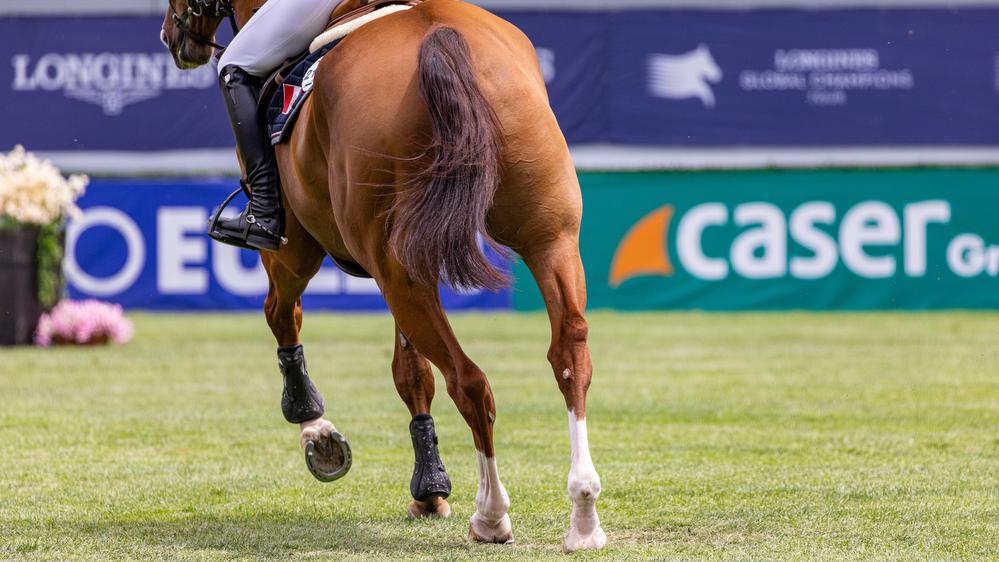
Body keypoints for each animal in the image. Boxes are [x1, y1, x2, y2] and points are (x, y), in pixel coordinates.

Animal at [161, 0, 606, 551]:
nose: (173, 37)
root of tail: (439, 37)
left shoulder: (295, 249)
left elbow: (283, 317)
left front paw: (314, 427)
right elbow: (411, 373)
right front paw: (430, 489)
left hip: (386, 267)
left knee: (470, 382)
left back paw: (491, 514)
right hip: (544, 240)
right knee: (568, 358)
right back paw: (583, 514)